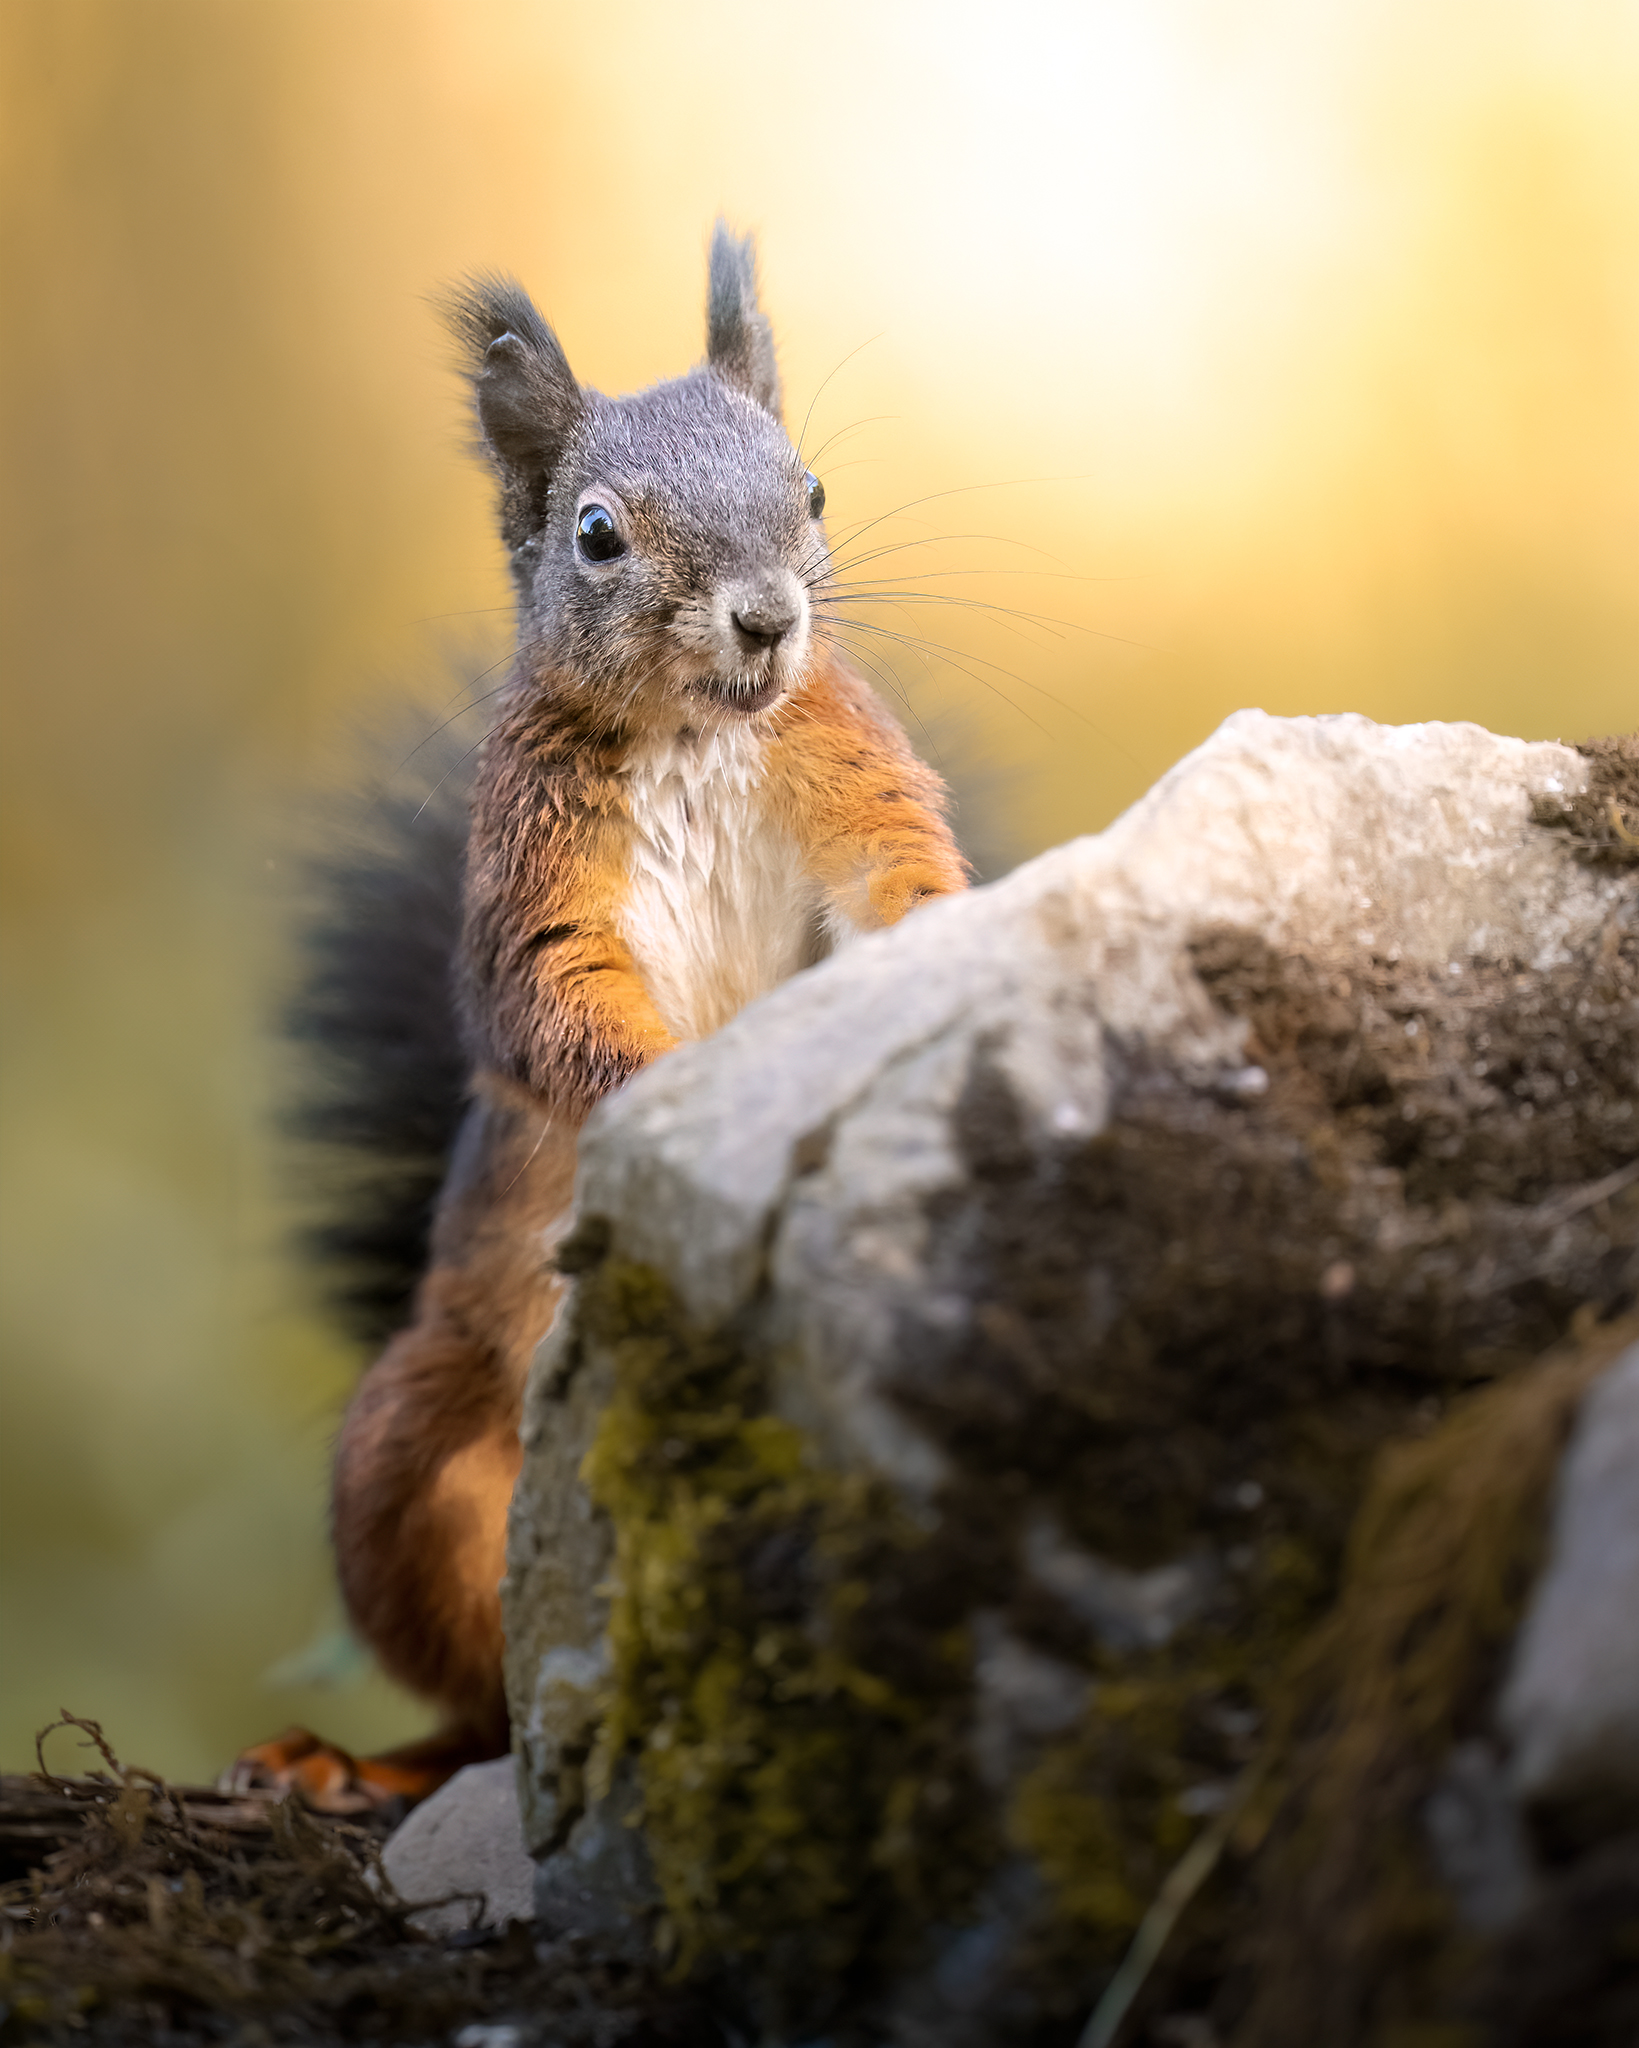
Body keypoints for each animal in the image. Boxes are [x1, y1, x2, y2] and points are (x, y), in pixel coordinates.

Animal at [232, 224, 969, 1811]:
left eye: (811, 491)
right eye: (593, 534)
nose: (767, 618)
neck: (704, 730)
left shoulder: (846, 773)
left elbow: (895, 873)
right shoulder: (538, 884)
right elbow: (557, 1011)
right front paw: (677, 1090)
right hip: (415, 1463)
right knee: (480, 1704)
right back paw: (354, 1760)